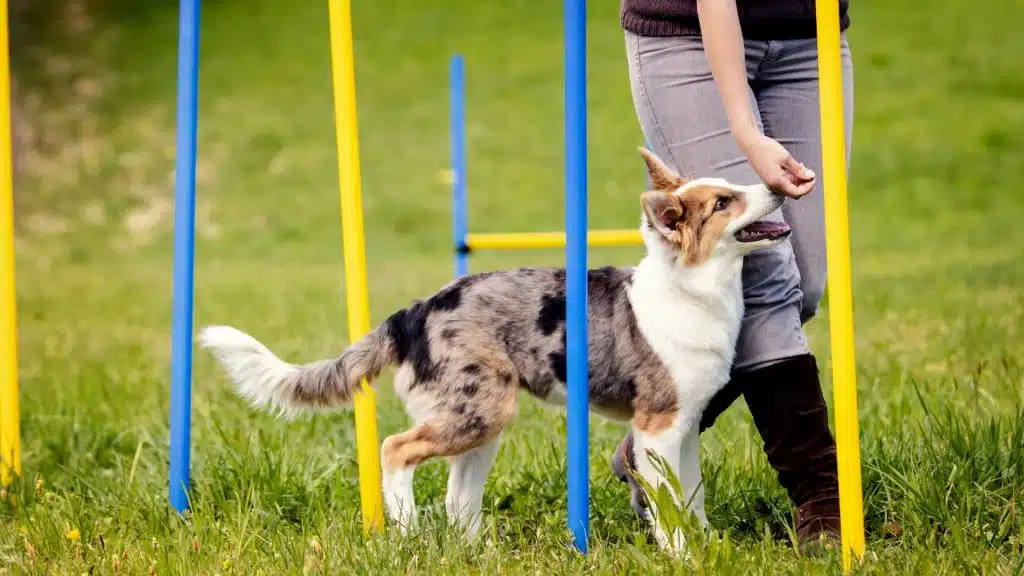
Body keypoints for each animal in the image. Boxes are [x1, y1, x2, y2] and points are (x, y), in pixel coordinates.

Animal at [197, 147, 790, 553]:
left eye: (731, 187)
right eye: (723, 203)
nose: (778, 183)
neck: (692, 290)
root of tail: (416, 311)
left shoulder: (684, 428)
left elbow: (692, 497)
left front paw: (704, 544)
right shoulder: (658, 426)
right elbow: (669, 506)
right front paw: (682, 555)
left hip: (484, 417)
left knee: (458, 495)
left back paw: (469, 549)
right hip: (477, 411)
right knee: (395, 449)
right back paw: (407, 534)